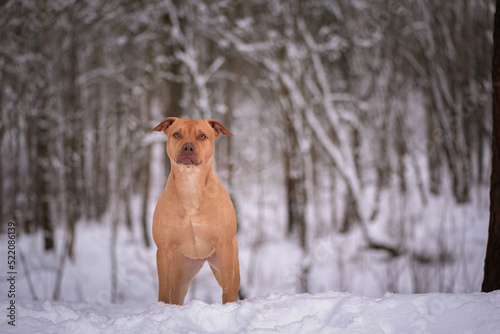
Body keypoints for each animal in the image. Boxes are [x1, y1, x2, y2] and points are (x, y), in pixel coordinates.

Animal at [150, 117, 240, 306]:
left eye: (202, 136)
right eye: (177, 134)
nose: (188, 147)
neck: (190, 185)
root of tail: (201, 258)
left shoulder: (224, 246)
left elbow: (228, 290)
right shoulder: (164, 250)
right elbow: (163, 290)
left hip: (224, 262)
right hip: (181, 272)